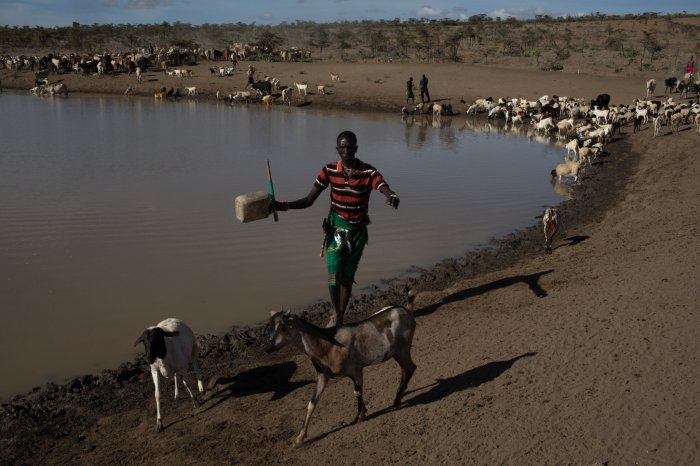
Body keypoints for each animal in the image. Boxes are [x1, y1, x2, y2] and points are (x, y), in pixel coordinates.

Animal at [264, 292, 416, 448]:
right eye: (269, 326)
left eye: (282, 326)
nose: (267, 348)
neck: (328, 344)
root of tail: (406, 309)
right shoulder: (323, 375)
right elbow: (312, 403)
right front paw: (299, 439)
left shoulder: (356, 370)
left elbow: (357, 392)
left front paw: (359, 417)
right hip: (397, 352)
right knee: (405, 370)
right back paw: (400, 396)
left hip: (402, 349)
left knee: (410, 368)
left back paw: (396, 400)